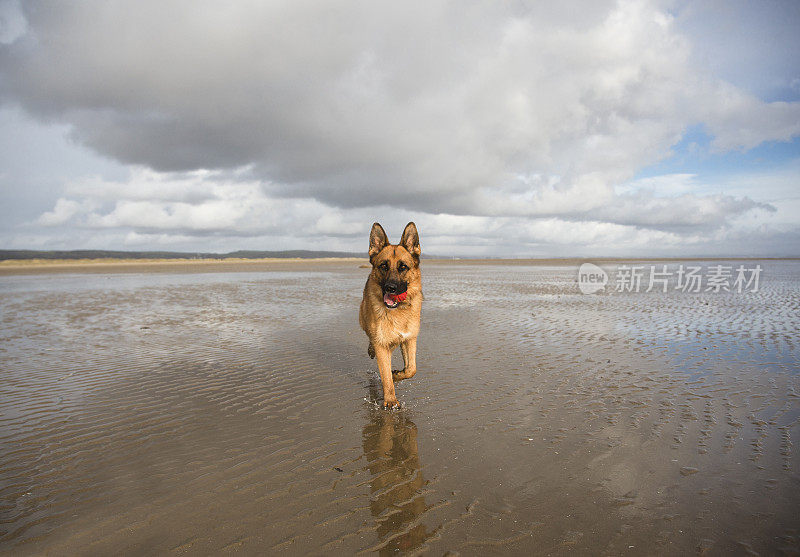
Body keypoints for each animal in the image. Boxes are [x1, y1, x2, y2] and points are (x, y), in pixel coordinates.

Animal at [360, 222, 424, 408]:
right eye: (383, 266)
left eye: (403, 267)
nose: (391, 288)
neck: (398, 311)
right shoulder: (382, 345)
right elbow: (386, 376)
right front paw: (390, 401)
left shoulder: (409, 339)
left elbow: (411, 369)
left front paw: (398, 375)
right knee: (371, 338)